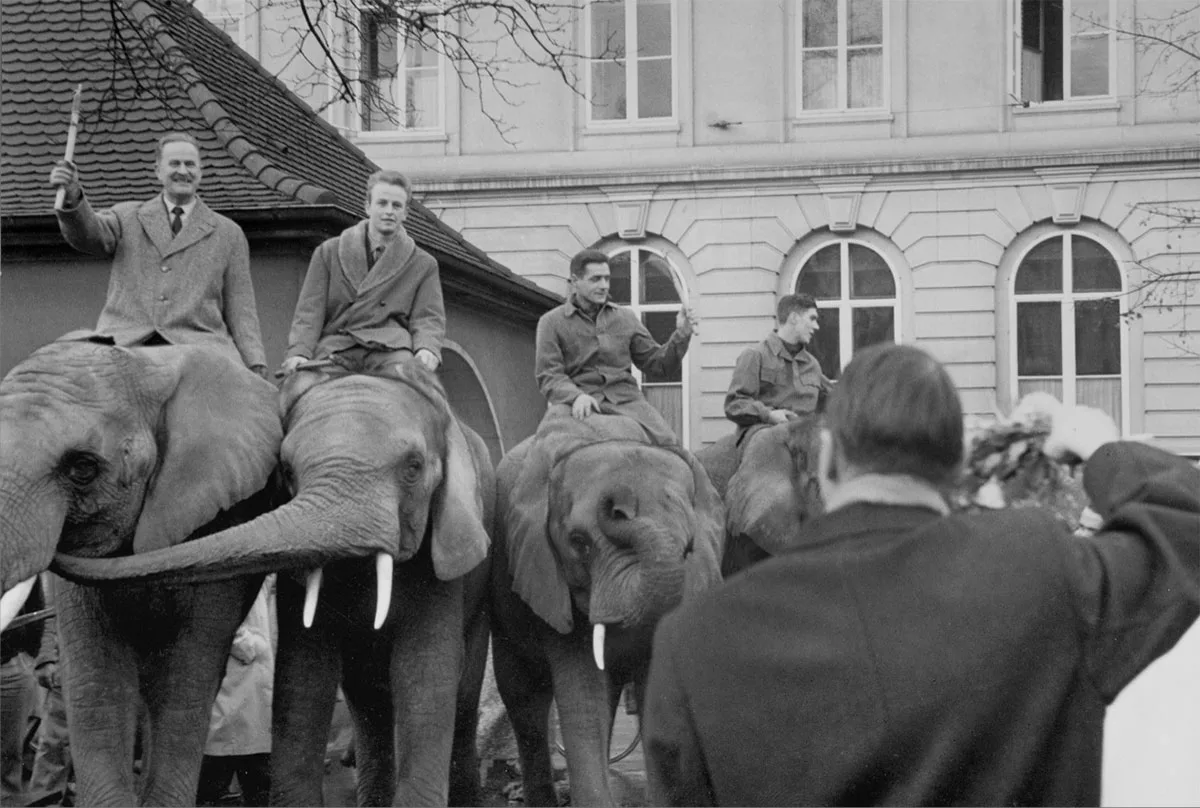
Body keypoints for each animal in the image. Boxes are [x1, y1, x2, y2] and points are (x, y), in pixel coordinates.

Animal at [265, 367, 494, 806]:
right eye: (287, 471)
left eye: (414, 467)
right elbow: (304, 675)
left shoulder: (443, 556)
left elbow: (423, 672)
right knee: (368, 700)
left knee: (462, 700)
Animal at [494, 413, 724, 801]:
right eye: (578, 543)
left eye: (689, 546)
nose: (617, 502)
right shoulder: (552, 584)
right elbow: (584, 699)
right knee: (523, 695)